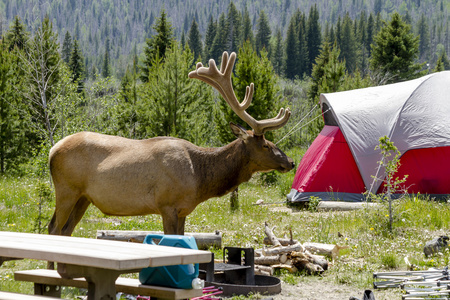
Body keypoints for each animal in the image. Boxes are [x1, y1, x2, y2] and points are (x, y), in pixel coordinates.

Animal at [48, 52, 296, 238]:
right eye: (266, 145)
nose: (291, 162)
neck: (200, 178)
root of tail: (52, 150)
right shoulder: (167, 206)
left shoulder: (184, 209)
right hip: (67, 190)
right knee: (53, 228)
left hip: (83, 197)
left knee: (66, 230)